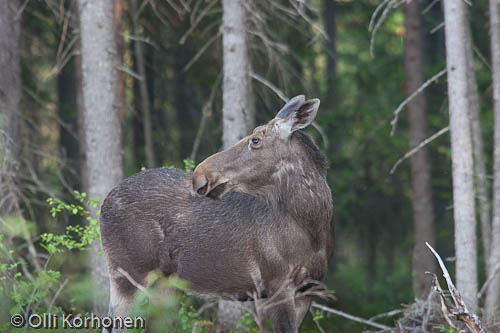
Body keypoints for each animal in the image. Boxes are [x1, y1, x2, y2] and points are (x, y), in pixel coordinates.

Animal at [99, 94, 334, 330]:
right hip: (127, 273)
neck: (312, 231)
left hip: (163, 283)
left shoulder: (307, 290)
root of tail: (103, 204)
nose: (199, 174)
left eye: (255, 140)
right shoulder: (277, 283)